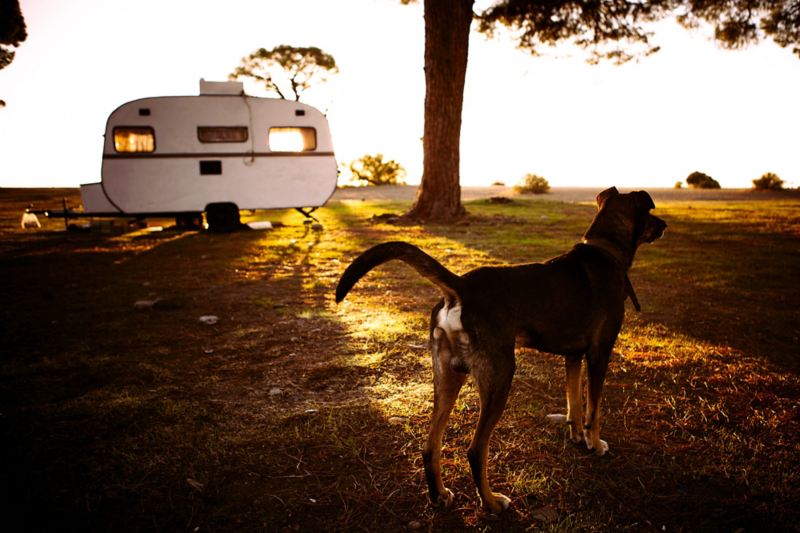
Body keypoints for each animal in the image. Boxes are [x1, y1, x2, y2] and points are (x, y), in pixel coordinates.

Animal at [334, 186, 664, 512]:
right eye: (650, 212)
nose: (664, 225)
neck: (605, 250)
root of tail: (461, 288)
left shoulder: (573, 356)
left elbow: (574, 403)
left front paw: (577, 436)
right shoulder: (599, 354)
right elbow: (593, 409)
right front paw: (595, 444)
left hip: (447, 376)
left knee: (430, 445)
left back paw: (439, 495)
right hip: (500, 376)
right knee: (475, 449)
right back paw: (492, 502)